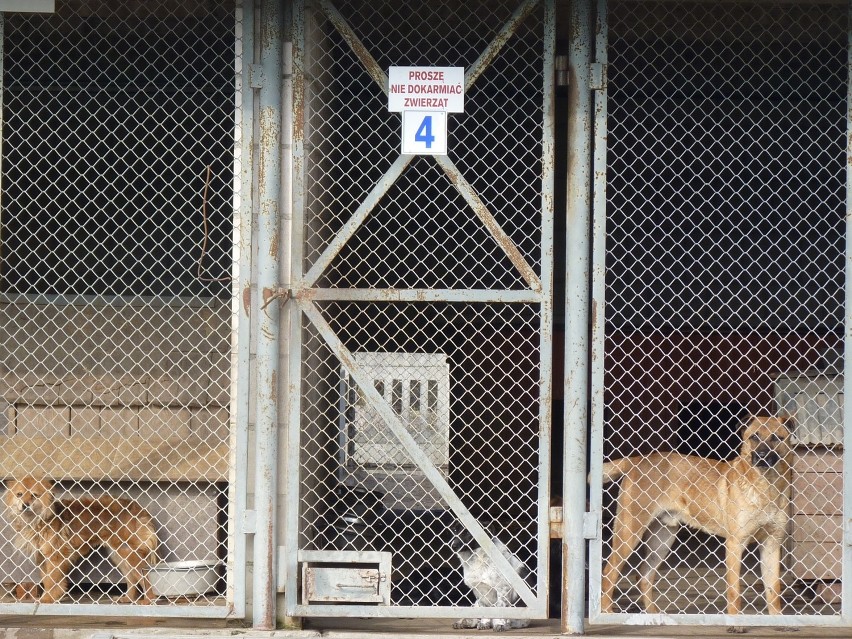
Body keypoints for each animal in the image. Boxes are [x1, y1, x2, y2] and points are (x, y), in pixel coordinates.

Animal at [4, 478, 160, 608]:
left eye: (34, 495)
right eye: (19, 494)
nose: (25, 505)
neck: (38, 519)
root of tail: (139, 509)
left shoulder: (55, 556)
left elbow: (51, 581)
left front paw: (48, 599)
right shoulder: (43, 557)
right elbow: (46, 579)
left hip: (129, 553)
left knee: (145, 578)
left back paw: (147, 601)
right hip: (119, 554)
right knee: (132, 579)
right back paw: (127, 598)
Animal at [600, 418, 792, 616]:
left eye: (776, 437)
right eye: (754, 437)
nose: (761, 456)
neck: (766, 487)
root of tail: (637, 460)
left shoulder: (771, 544)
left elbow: (774, 593)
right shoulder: (735, 544)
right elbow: (734, 593)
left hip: (662, 539)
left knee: (643, 575)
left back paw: (653, 614)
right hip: (629, 533)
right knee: (608, 572)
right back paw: (607, 612)